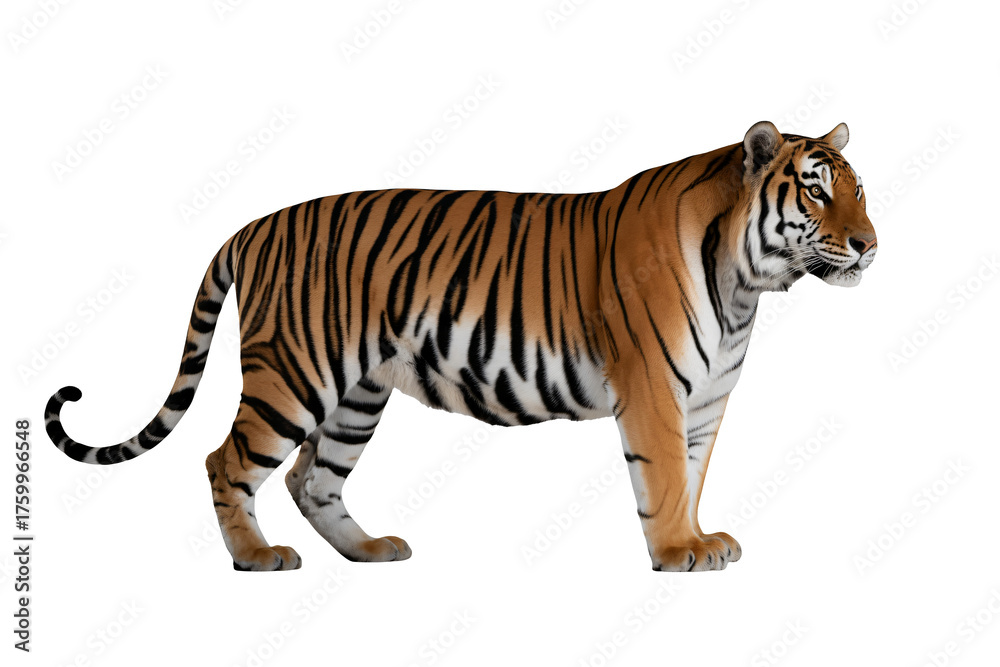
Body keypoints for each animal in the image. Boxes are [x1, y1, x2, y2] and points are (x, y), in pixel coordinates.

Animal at [45, 121, 876, 572]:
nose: (871, 244)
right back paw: (255, 556)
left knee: (312, 478)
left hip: (358, 394)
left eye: (858, 189)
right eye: (815, 189)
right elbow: (666, 478)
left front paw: (699, 537)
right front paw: (678, 550)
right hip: (292, 374)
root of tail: (251, 226)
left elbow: (694, 476)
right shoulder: (654, 391)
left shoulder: (703, 402)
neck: (745, 287)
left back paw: (369, 549)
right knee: (227, 460)